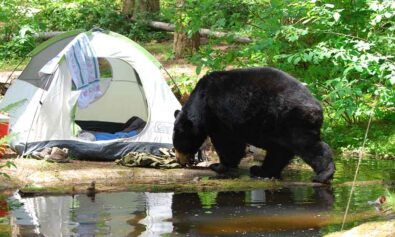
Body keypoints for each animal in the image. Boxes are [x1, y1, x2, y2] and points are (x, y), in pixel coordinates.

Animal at [173, 66, 334, 183]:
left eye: (177, 145)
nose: (179, 161)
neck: (201, 102)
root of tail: (317, 106)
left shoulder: (220, 116)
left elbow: (228, 143)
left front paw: (218, 165)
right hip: (278, 126)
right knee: (279, 150)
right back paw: (261, 170)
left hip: (292, 120)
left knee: (307, 145)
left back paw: (323, 175)